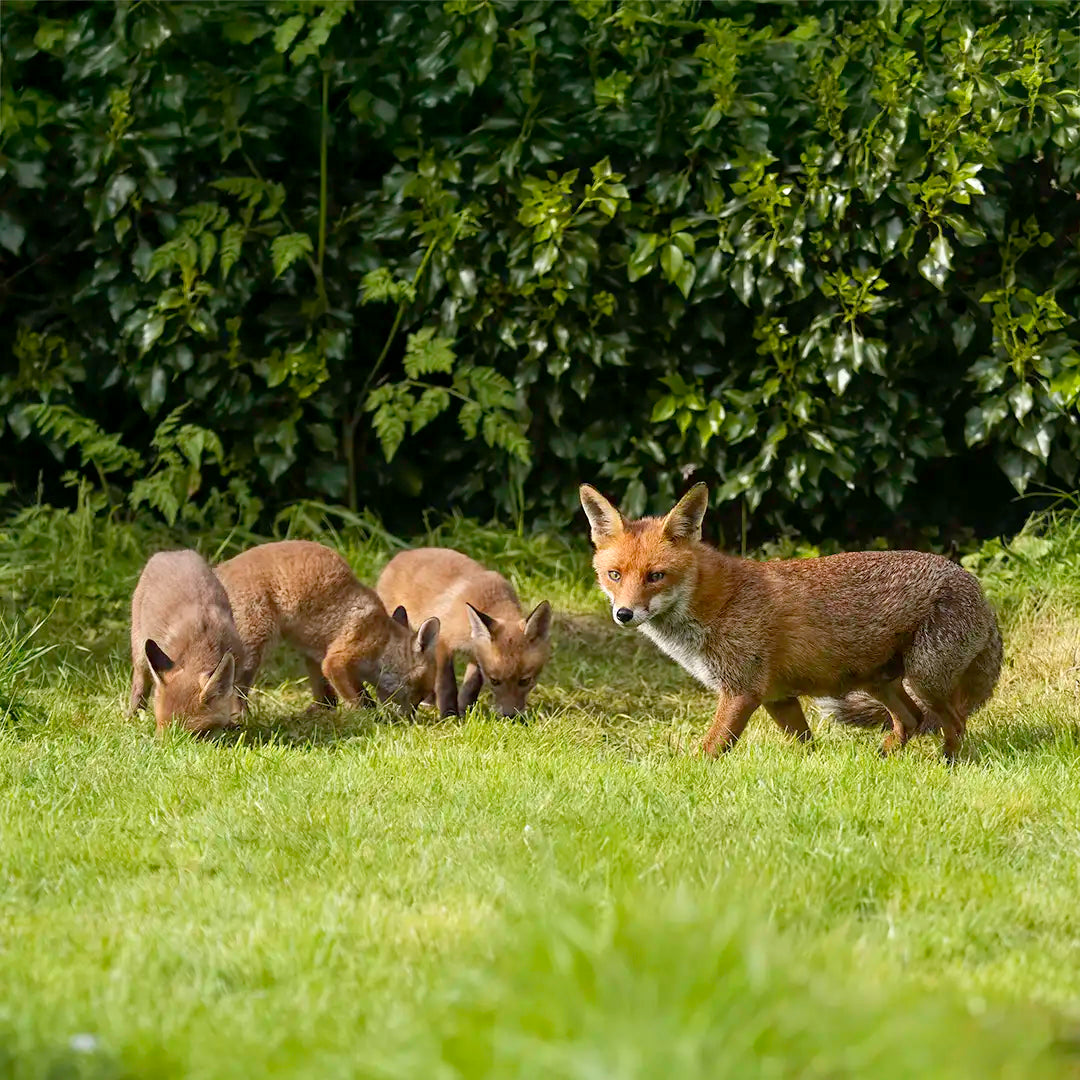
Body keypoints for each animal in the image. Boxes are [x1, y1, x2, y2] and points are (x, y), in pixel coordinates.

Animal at [127, 549, 244, 734]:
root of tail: (171, 552)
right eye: (159, 731)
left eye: (194, 735)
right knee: (139, 686)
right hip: (140, 653)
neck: (202, 643)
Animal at [214, 540, 440, 713]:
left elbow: (329, 698)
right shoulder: (337, 661)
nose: (411, 720)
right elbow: (361, 700)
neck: (383, 640)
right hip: (254, 648)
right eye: (420, 693)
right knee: (236, 689)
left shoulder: (318, 657)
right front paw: (370, 718)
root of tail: (218, 569)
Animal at [376, 547, 552, 720]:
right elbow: (447, 685)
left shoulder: (477, 654)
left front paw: (465, 710)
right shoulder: (442, 642)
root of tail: (402, 554)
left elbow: (471, 686)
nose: (510, 716)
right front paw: (449, 716)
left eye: (525, 681)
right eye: (494, 681)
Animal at [580, 482, 1002, 762]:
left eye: (656, 576)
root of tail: (977, 587)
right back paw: (882, 758)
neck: (718, 604)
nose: (624, 614)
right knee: (911, 721)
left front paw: (685, 776)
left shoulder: (741, 691)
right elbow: (806, 745)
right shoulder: (778, 698)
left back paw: (946, 764)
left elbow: (710, 750)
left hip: (925, 678)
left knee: (954, 723)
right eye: (614, 575)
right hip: (880, 682)